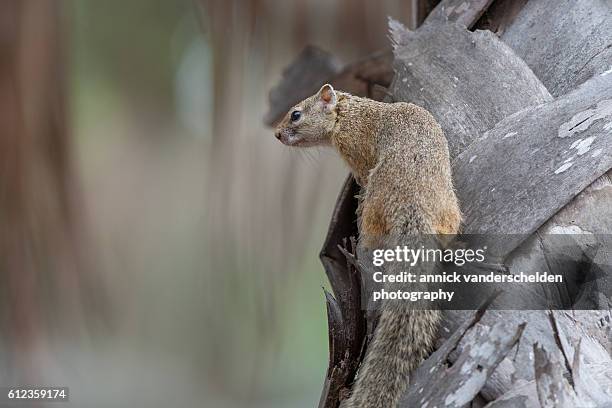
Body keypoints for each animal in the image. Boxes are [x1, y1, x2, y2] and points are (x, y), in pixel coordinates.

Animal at [274, 84, 462, 406]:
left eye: (296, 114)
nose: (276, 134)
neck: (348, 112)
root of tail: (412, 208)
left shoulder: (355, 150)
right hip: (449, 209)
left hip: (375, 209)